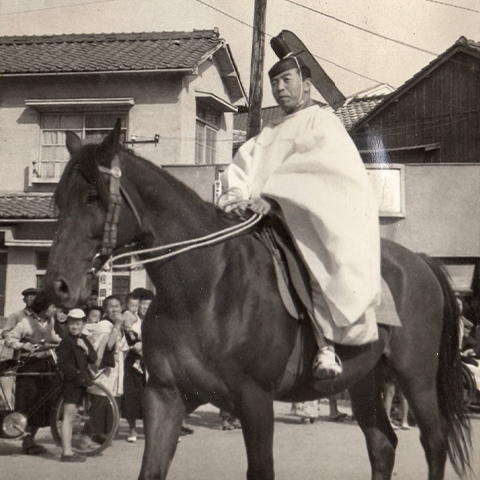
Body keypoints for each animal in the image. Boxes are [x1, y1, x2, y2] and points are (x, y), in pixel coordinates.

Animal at [47, 124, 470, 480]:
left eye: (93, 196)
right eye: (57, 199)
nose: (59, 285)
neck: (203, 289)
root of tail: (420, 261)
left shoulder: (255, 400)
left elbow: (261, 469)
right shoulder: (165, 397)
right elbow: (151, 470)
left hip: (416, 376)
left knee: (434, 442)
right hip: (365, 379)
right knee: (382, 444)